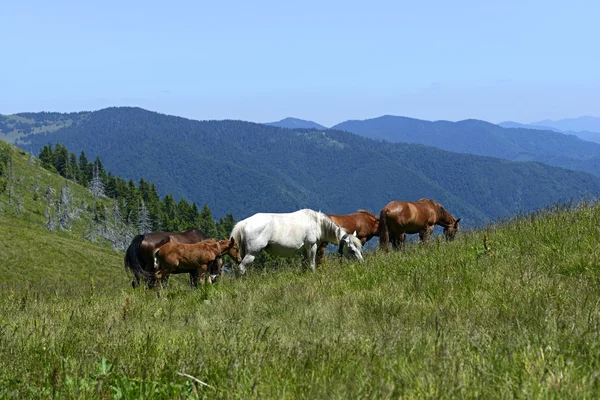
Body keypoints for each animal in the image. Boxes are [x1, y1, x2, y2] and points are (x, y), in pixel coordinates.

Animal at [230, 208, 364, 274]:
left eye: (360, 248)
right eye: (352, 250)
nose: (361, 263)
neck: (317, 223)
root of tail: (244, 223)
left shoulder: (304, 250)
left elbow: (304, 266)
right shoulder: (312, 246)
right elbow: (312, 265)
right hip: (252, 253)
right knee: (241, 268)